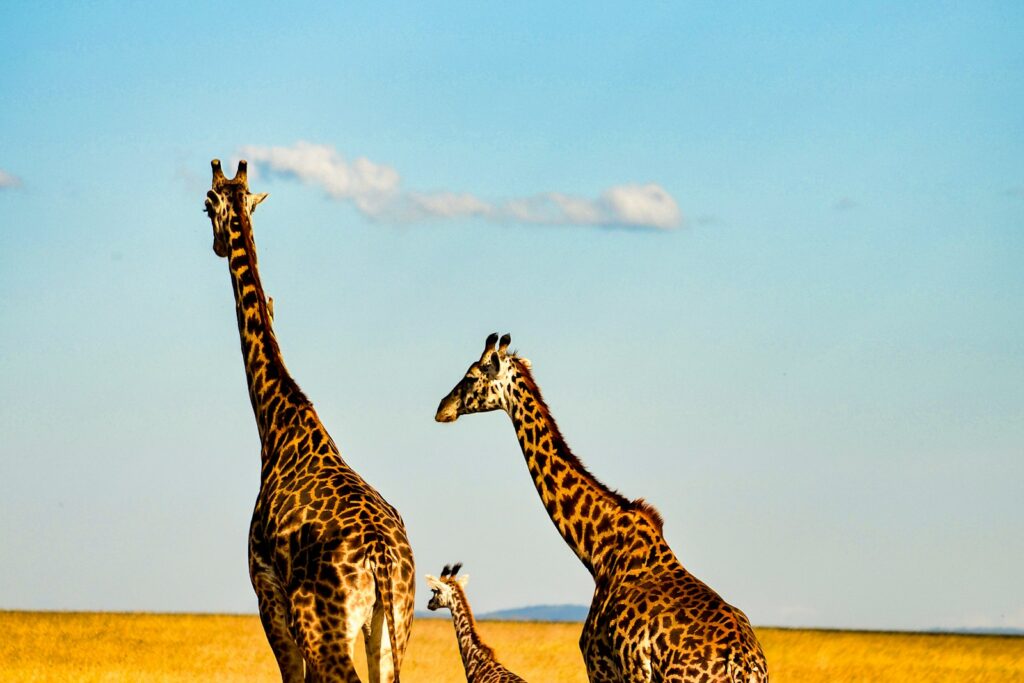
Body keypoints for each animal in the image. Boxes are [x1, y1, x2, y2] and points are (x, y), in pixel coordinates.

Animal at [204, 159, 415, 682]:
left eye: (204, 205)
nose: (217, 245)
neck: (277, 424)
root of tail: (382, 559)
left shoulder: (266, 591)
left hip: (322, 624)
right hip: (393, 623)